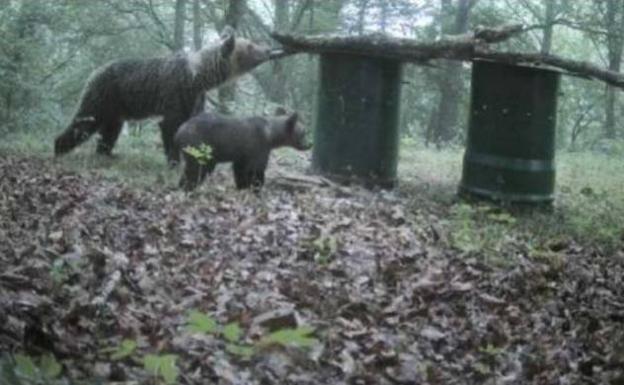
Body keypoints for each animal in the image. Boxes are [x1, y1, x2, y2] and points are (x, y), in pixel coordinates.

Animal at [53, 27, 268, 164]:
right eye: (250, 45)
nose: (268, 50)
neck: (199, 78)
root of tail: (94, 72)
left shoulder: (195, 99)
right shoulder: (176, 94)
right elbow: (170, 127)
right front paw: (174, 161)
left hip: (116, 107)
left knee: (110, 130)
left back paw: (106, 153)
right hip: (103, 95)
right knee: (85, 121)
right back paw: (58, 148)